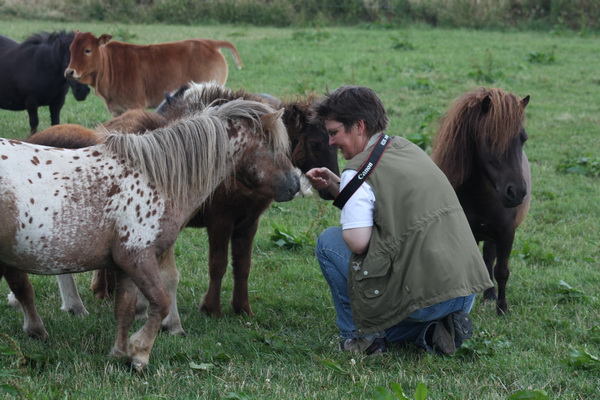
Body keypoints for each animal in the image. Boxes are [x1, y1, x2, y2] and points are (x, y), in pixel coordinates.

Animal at [0, 98, 298, 370]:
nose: (294, 185)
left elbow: (125, 309)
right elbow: (161, 301)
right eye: (274, 147)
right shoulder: (138, 258)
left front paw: (119, 353)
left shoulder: (124, 265)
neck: (154, 177)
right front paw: (140, 354)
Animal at [432, 87, 528, 316]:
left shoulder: (506, 232)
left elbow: (502, 270)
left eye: (523, 138)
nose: (517, 192)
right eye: (491, 139)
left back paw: (490, 295)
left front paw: (502, 308)